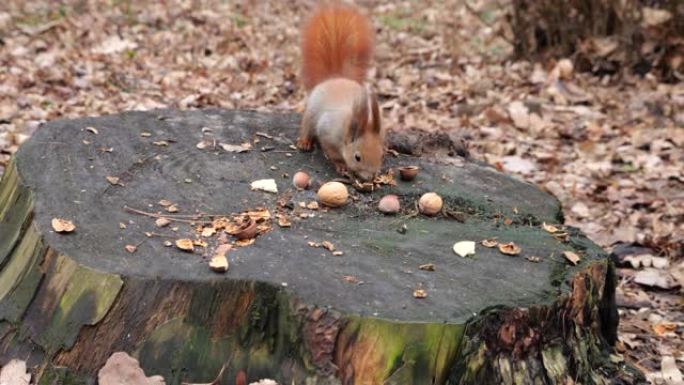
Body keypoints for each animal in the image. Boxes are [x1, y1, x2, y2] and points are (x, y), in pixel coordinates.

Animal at [298, 3, 388, 181]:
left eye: (381, 156)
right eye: (357, 157)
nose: (369, 177)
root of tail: (336, 77)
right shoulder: (327, 132)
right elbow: (332, 152)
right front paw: (341, 166)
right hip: (311, 111)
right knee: (307, 125)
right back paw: (304, 141)